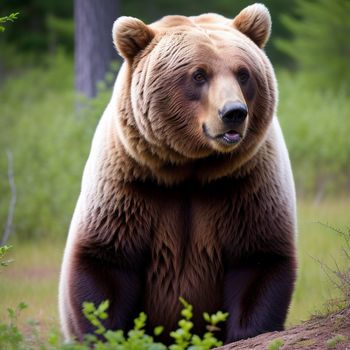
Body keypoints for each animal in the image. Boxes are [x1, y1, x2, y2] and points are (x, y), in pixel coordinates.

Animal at [58, 3, 296, 344]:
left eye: (243, 73)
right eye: (198, 74)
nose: (233, 113)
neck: (190, 167)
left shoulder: (247, 182)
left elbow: (258, 258)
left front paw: (247, 332)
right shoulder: (129, 184)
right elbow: (105, 262)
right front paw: (106, 333)